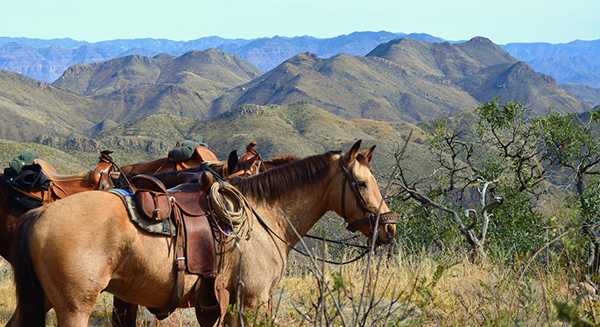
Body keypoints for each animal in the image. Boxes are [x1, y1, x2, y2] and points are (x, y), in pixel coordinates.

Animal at [8, 140, 398, 326]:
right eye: (362, 184)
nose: (389, 226)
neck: (264, 216)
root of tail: (40, 214)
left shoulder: (230, 303)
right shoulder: (254, 301)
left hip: (42, 300)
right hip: (75, 308)